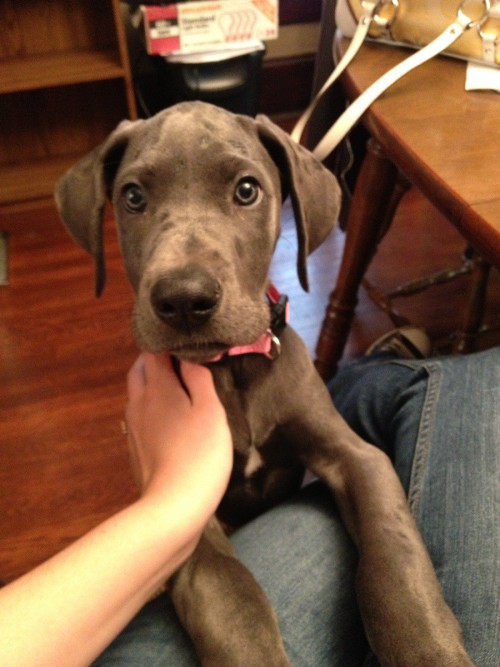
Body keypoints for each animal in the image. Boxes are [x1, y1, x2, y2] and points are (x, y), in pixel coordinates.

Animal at [55, 102, 472, 664]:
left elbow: (395, 556)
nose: (183, 299)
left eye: (247, 190)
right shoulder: (190, 516)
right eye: (133, 196)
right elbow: (236, 599)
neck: (234, 370)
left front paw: (429, 647)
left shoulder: (356, 457)